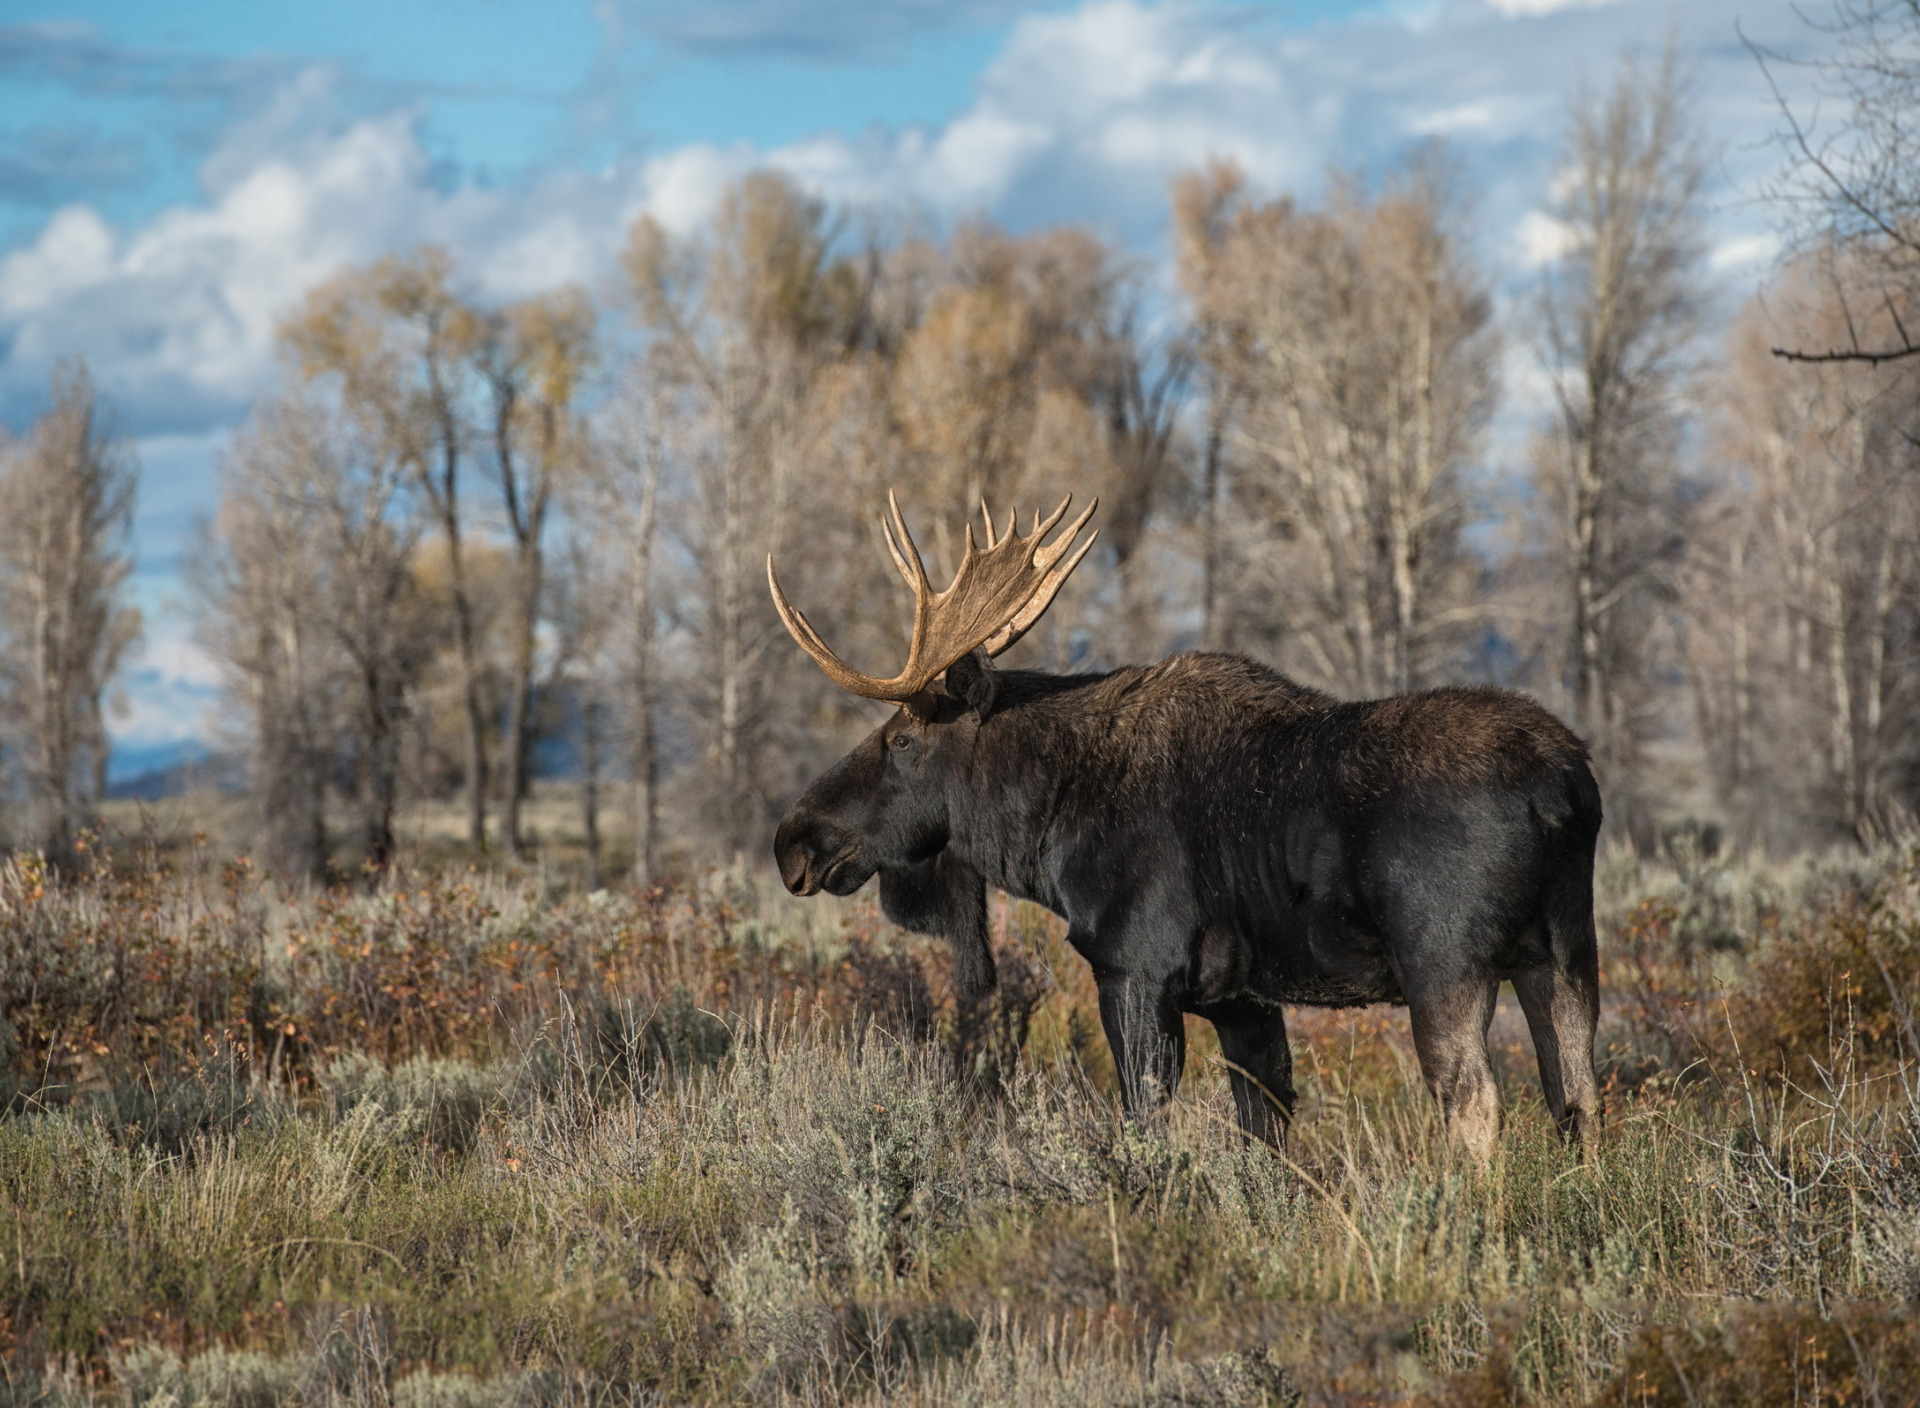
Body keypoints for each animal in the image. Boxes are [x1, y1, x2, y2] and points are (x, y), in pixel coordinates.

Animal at [768, 491, 1605, 1152]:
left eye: (902, 739)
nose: (792, 841)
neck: (1045, 828)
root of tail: (1565, 790)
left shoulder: (1134, 969)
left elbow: (1145, 1129)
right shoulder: (1244, 1001)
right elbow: (1266, 1138)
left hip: (1445, 961)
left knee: (1475, 1104)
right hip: (1563, 951)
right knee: (1578, 1099)